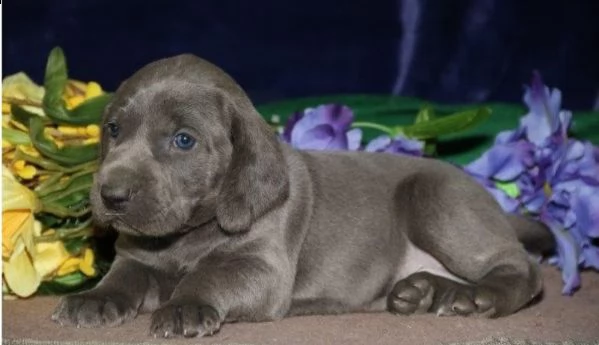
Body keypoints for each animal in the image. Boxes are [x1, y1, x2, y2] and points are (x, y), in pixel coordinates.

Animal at [51, 55, 552, 338]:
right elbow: (123, 277)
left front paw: (185, 306)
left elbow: (209, 276)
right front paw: (94, 298)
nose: (111, 194)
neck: (186, 236)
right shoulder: (135, 256)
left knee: (522, 269)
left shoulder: (261, 267)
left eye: (183, 140)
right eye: (114, 129)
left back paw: (477, 299)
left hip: (435, 197)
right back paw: (424, 292)